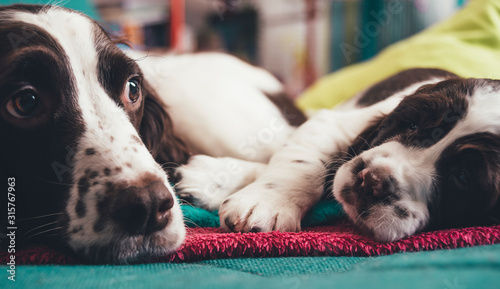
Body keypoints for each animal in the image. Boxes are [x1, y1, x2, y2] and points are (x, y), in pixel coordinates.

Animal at [178, 67, 500, 241]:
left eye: (462, 177)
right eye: (411, 124)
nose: (373, 181)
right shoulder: (338, 122)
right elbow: (302, 163)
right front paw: (266, 202)